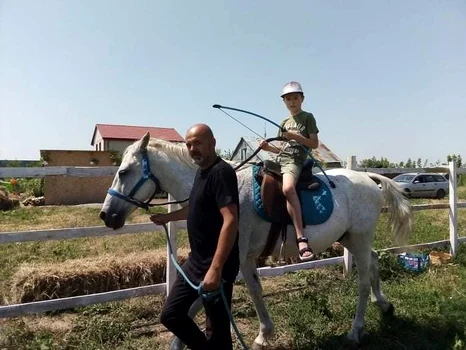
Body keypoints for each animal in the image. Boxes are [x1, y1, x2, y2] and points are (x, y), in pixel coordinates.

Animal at [101, 133, 412, 348]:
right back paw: (384, 305)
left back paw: (356, 331)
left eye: (123, 172)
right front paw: (264, 335)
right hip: (350, 239)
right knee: (374, 261)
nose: (106, 215)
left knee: (362, 280)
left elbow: (200, 302)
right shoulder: (244, 258)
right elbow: (254, 290)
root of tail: (367, 177)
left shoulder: (228, 261)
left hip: (359, 239)